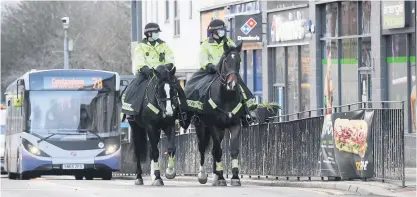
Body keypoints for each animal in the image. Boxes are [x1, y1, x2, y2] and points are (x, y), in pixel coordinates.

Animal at [185, 42, 244, 186]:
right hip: (201, 127)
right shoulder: (214, 126)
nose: (232, 84)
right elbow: (218, 151)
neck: (226, 98)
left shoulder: (235, 125)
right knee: (202, 148)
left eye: (239, 61)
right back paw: (203, 175)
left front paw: (235, 177)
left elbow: (233, 150)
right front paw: (222, 177)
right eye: (226, 61)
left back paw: (216, 175)